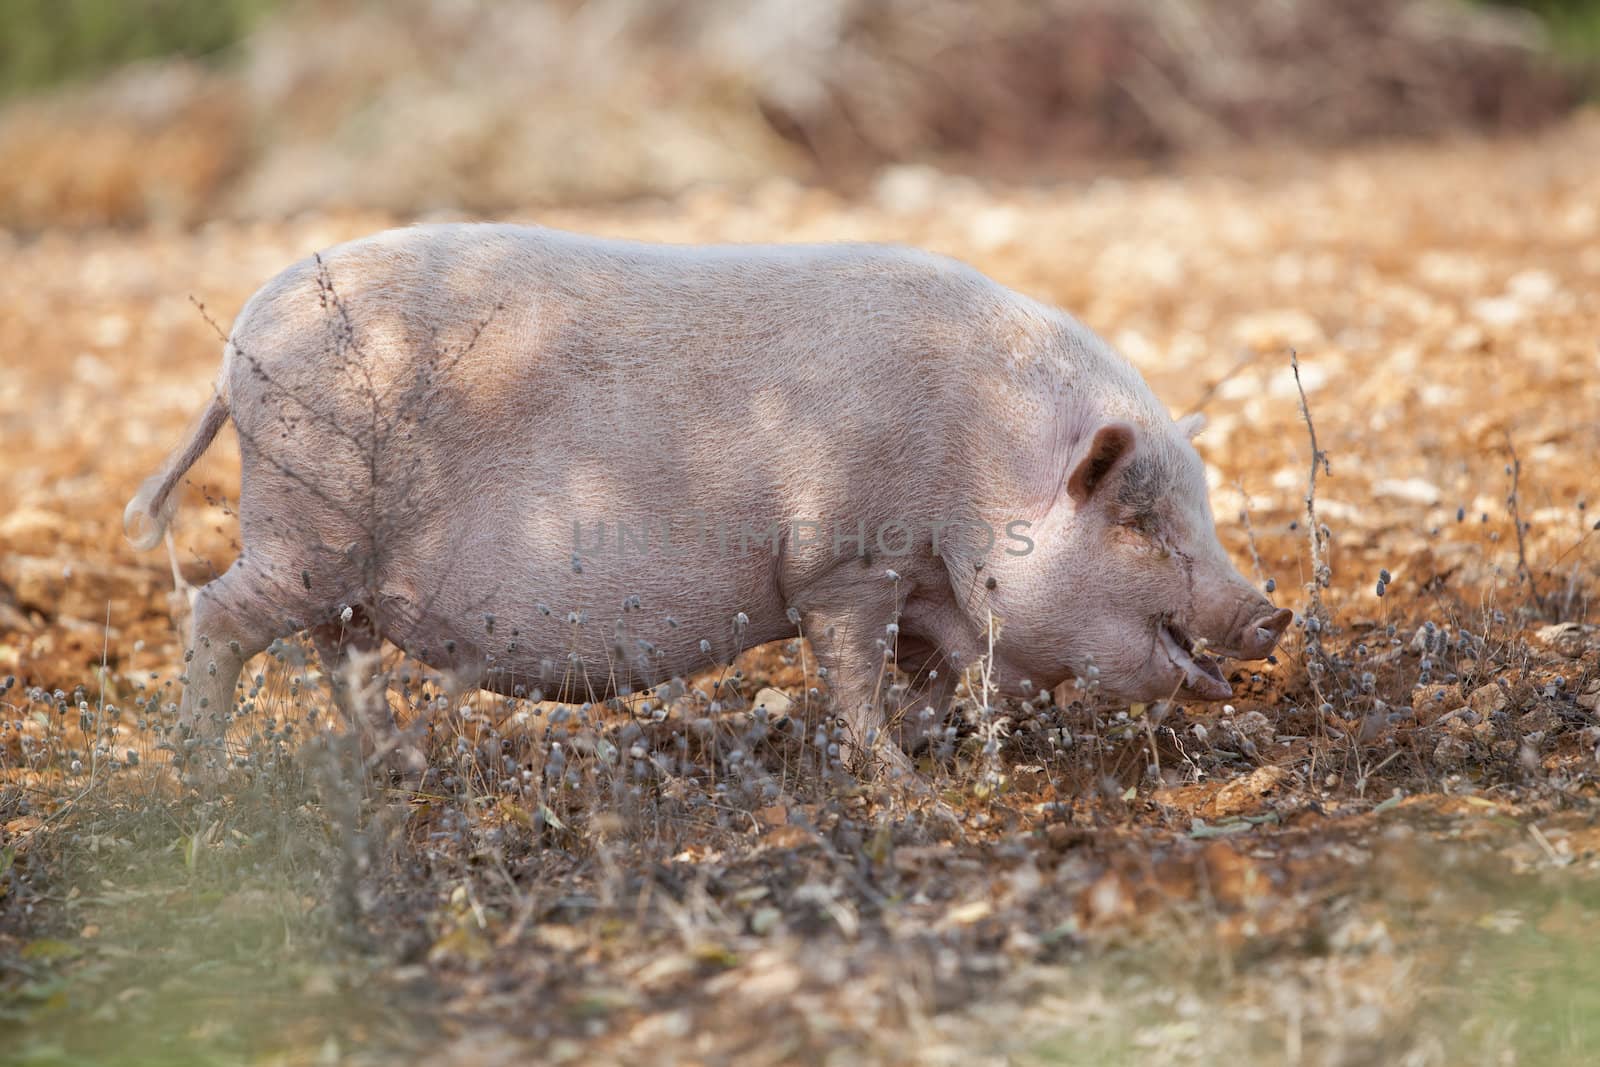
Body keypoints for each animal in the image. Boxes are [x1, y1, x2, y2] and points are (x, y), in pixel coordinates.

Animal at [128, 225, 1299, 780]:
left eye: (1195, 511)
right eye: (1138, 520)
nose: (1273, 611)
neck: (980, 455)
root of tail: (241, 341)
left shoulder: (927, 588)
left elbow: (930, 682)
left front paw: (928, 749)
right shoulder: (844, 558)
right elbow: (853, 675)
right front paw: (900, 781)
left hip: (340, 569)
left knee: (344, 656)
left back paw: (404, 764)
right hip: (305, 528)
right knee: (219, 615)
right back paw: (201, 773)